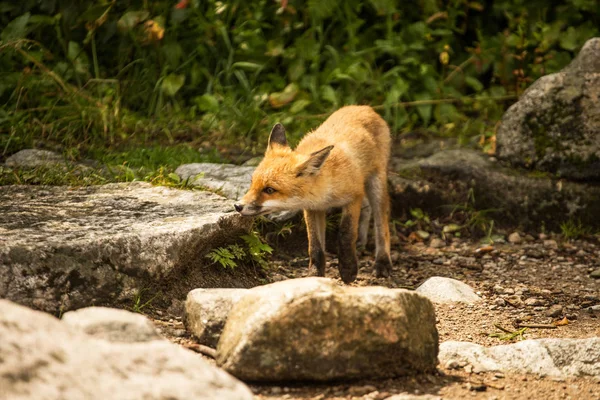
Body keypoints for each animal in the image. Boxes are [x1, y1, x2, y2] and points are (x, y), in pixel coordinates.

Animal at [234, 104, 394, 282]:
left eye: (269, 190)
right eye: (252, 183)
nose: (237, 206)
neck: (325, 193)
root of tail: (364, 107)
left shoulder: (353, 196)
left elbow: (346, 234)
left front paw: (348, 269)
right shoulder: (312, 208)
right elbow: (314, 246)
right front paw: (315, 275)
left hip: (376, 184)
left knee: (381, 224)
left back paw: (382, 262)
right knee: (366, 209)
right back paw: (360, 241)